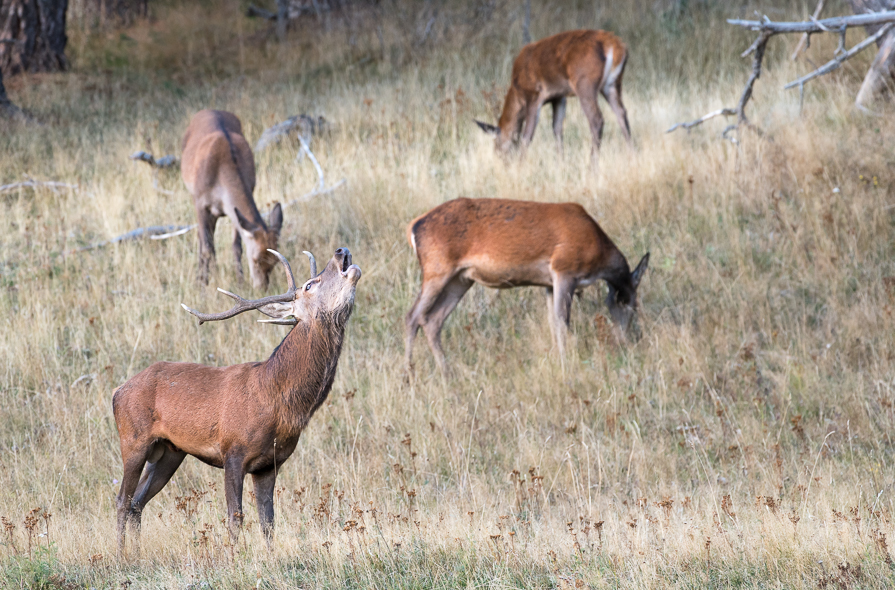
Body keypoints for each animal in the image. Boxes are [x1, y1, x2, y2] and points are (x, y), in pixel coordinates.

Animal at [113, 250, 360, 560]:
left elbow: (268, 520)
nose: (341, 252)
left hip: (170, 452)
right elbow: (235, 516)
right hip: (133, 439)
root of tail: (117, 391)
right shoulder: (232, 451)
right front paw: (234, 559)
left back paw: (136, 552)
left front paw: (270, 558)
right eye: (309, 285)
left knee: (138, 502)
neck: (276, 402)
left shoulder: (270, 464)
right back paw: (121, 555)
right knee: (122, 500)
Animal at [180, 110, 282, 292]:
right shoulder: (200, 202)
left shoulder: (236, 208)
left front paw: (240, 282)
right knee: (203, 238)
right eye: (256, 259)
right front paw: (210, 284)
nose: (262, 288)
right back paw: (200, 279)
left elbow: (236, 246)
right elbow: (207, 248)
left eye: (275, 261)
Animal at [406, 199, 652, 374]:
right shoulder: (564, 269)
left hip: (460, 279)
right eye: (632, 303)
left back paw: (446, 373)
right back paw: (409, 374)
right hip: (437, 269)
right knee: (412, 316)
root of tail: (414, 226)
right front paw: (566, 365)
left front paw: (556, 359)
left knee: (432, 320)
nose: (623, 341)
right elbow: (562, 322)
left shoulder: (549, 284)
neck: (598, 253)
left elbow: (552, 323)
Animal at [472, 30, 632, 166]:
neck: (517, 92)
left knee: (596, 119)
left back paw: (592, 165)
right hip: (612, 85)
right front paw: (560, 162)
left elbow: (527, 135)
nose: (502, 162)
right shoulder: (559, 97)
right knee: (621, 114)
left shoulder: (534, 95)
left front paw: (520, 165)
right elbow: (557, 129)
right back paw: (633, 155)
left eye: (496, 145)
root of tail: (615, 46)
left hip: (585, 84)